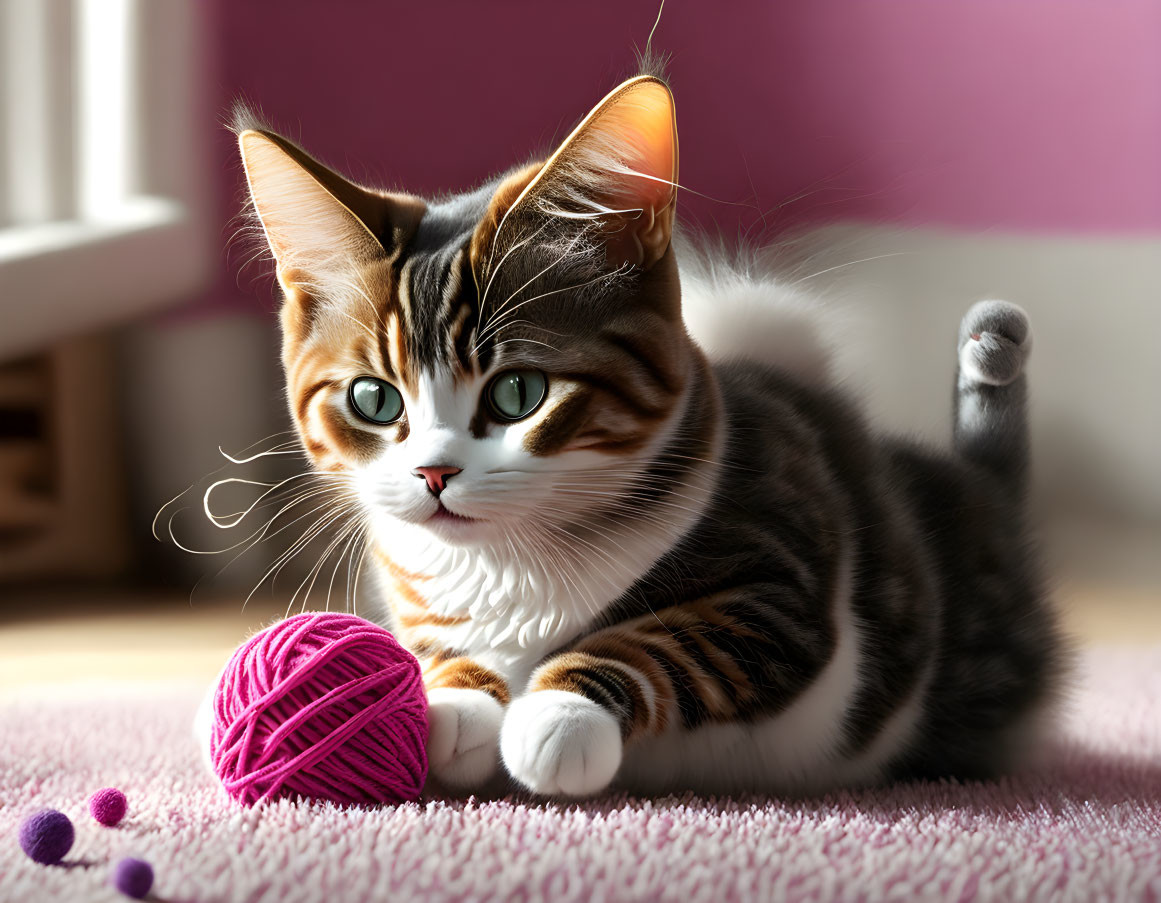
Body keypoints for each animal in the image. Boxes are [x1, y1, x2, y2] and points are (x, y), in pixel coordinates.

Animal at [218, 75, 1063, 793]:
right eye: (373, 398)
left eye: (519, 393)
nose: (433, 473)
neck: (506, 566)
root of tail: (985, 497)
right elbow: (440, 655)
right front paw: (453, 700)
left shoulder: (782, 570)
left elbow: (672, 636)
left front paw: (558, 713)